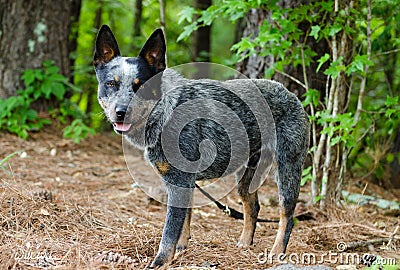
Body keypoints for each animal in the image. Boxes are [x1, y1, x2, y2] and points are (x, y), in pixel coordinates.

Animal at [93, 25, 310, 268]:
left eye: (142, 87)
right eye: (111, 84)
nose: (121, 112)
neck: (165, 113)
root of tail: (291, 95)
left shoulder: (180, 181)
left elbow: (170, 230)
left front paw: (161, 261)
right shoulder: (183, 182)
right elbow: (184, 220)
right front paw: (182, 248)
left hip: (288, 168)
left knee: (287, 215)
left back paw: (277, 252)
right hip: (246, 178)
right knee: (253, 207)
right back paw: (244, 243)